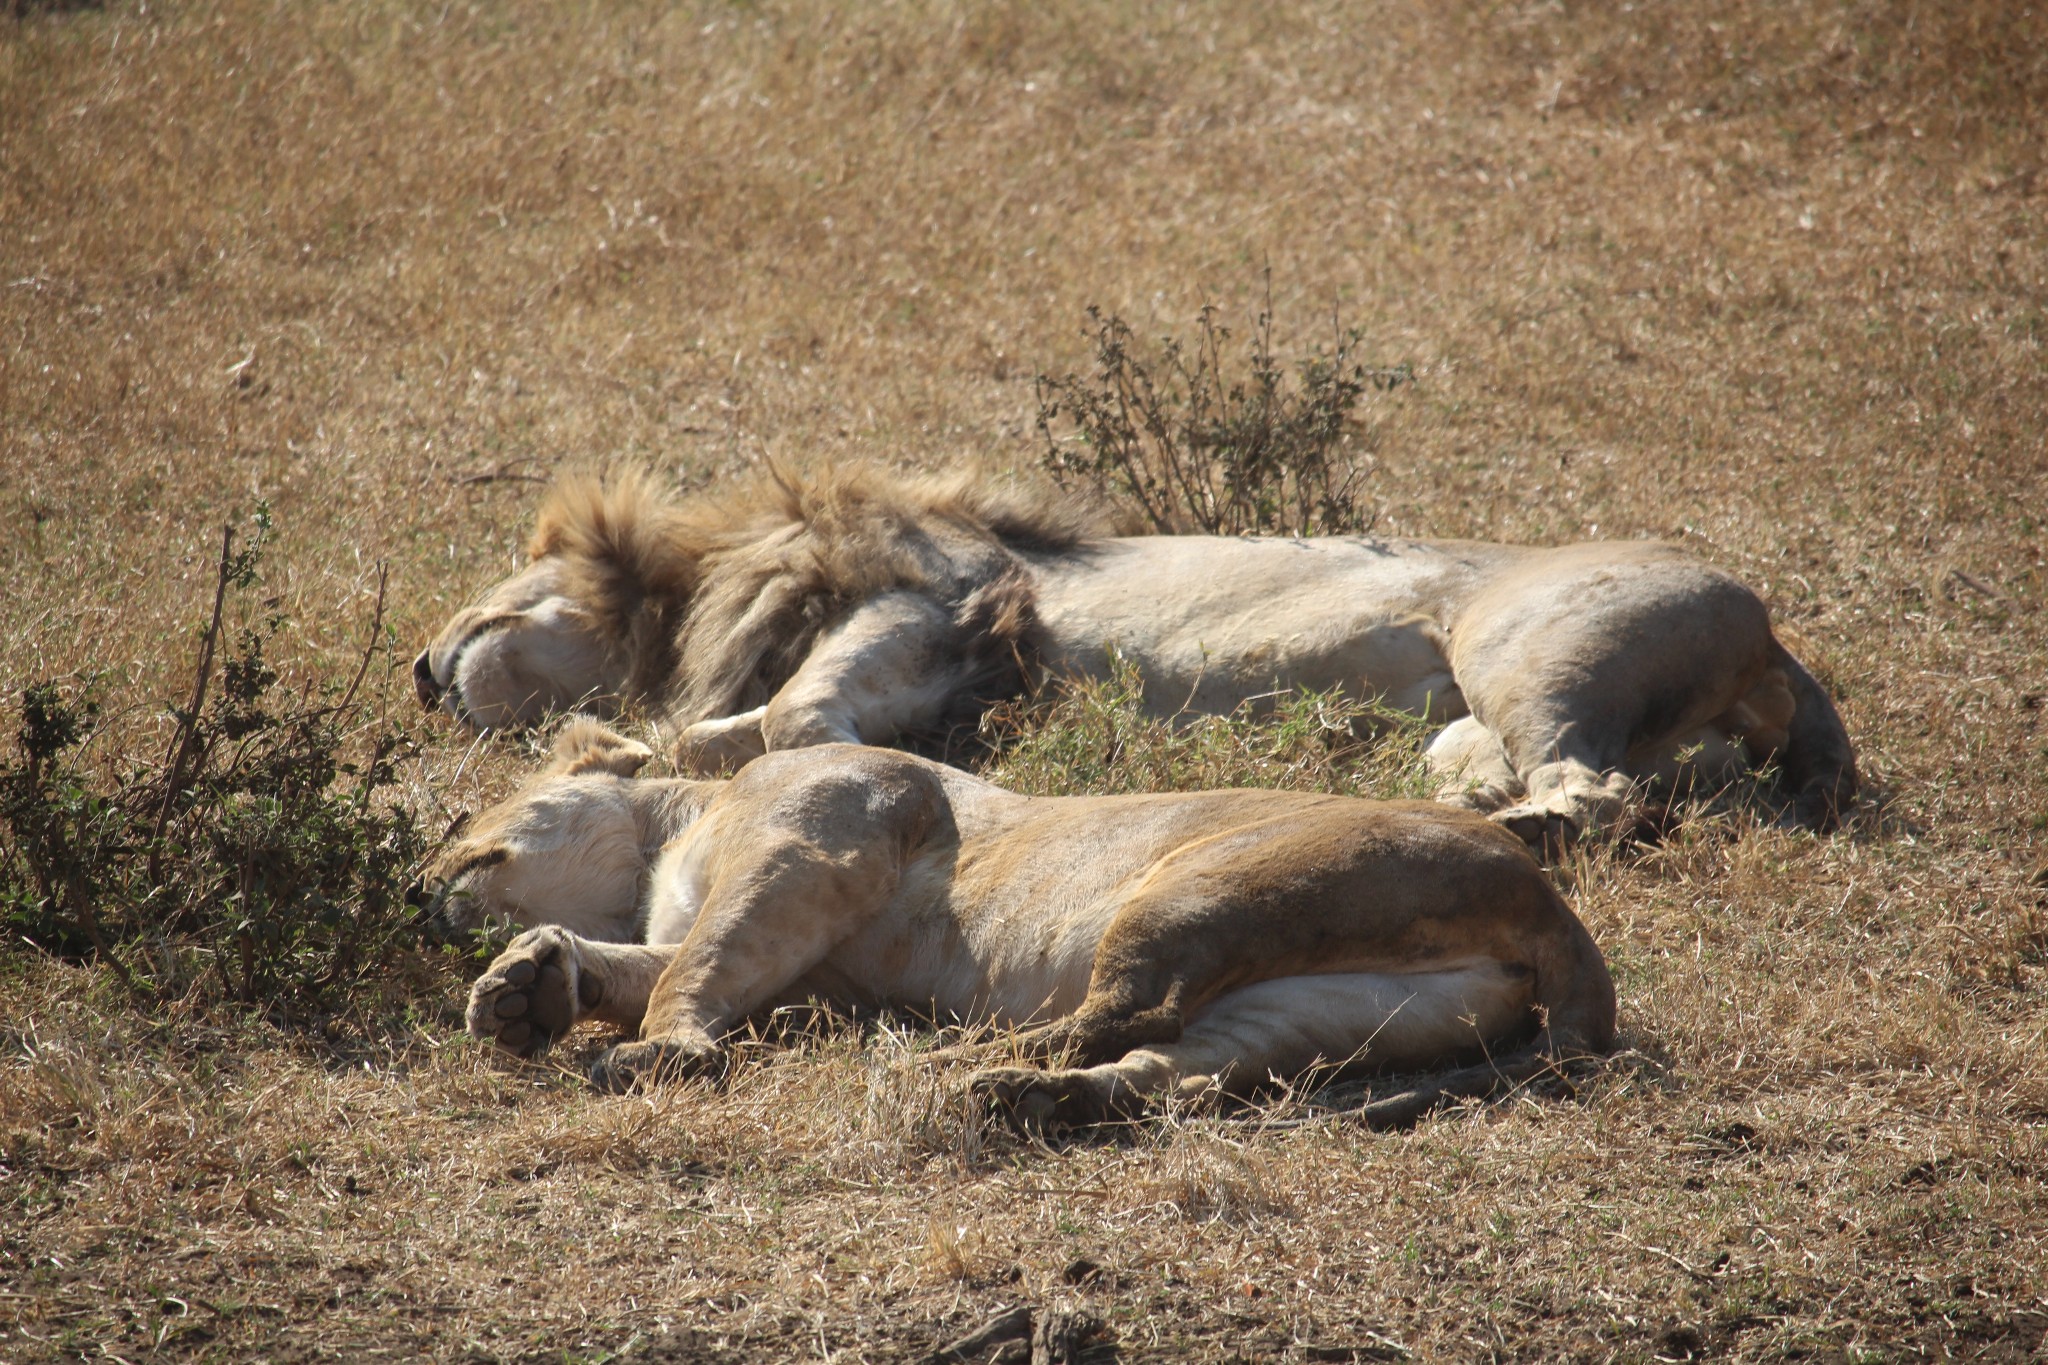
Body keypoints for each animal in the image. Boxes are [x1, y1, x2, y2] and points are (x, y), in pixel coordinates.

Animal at [415, 464, 1859, 839]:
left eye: (508, 571)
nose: (419, 673)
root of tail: (1770, 627)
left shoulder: (944, 605)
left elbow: (779, 729)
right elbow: (717, 734)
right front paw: (615, 749)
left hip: (1532, 647)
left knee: (1590, 791)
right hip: (1469, 720)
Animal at [428, 720, 1613, 1129]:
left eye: (468, 826)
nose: (419, 887)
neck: (674, 824)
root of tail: (1550, 902)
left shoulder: (812, 845)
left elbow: (689, 968)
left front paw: (657, 1051)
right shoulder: (807, 976)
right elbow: (652, 962)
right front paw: (526, 986)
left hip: (1202, 885)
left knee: (1129, 1007)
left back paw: (942, 1061)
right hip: (1336, 1008)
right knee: (1165, 1067)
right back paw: (1022, 1096)